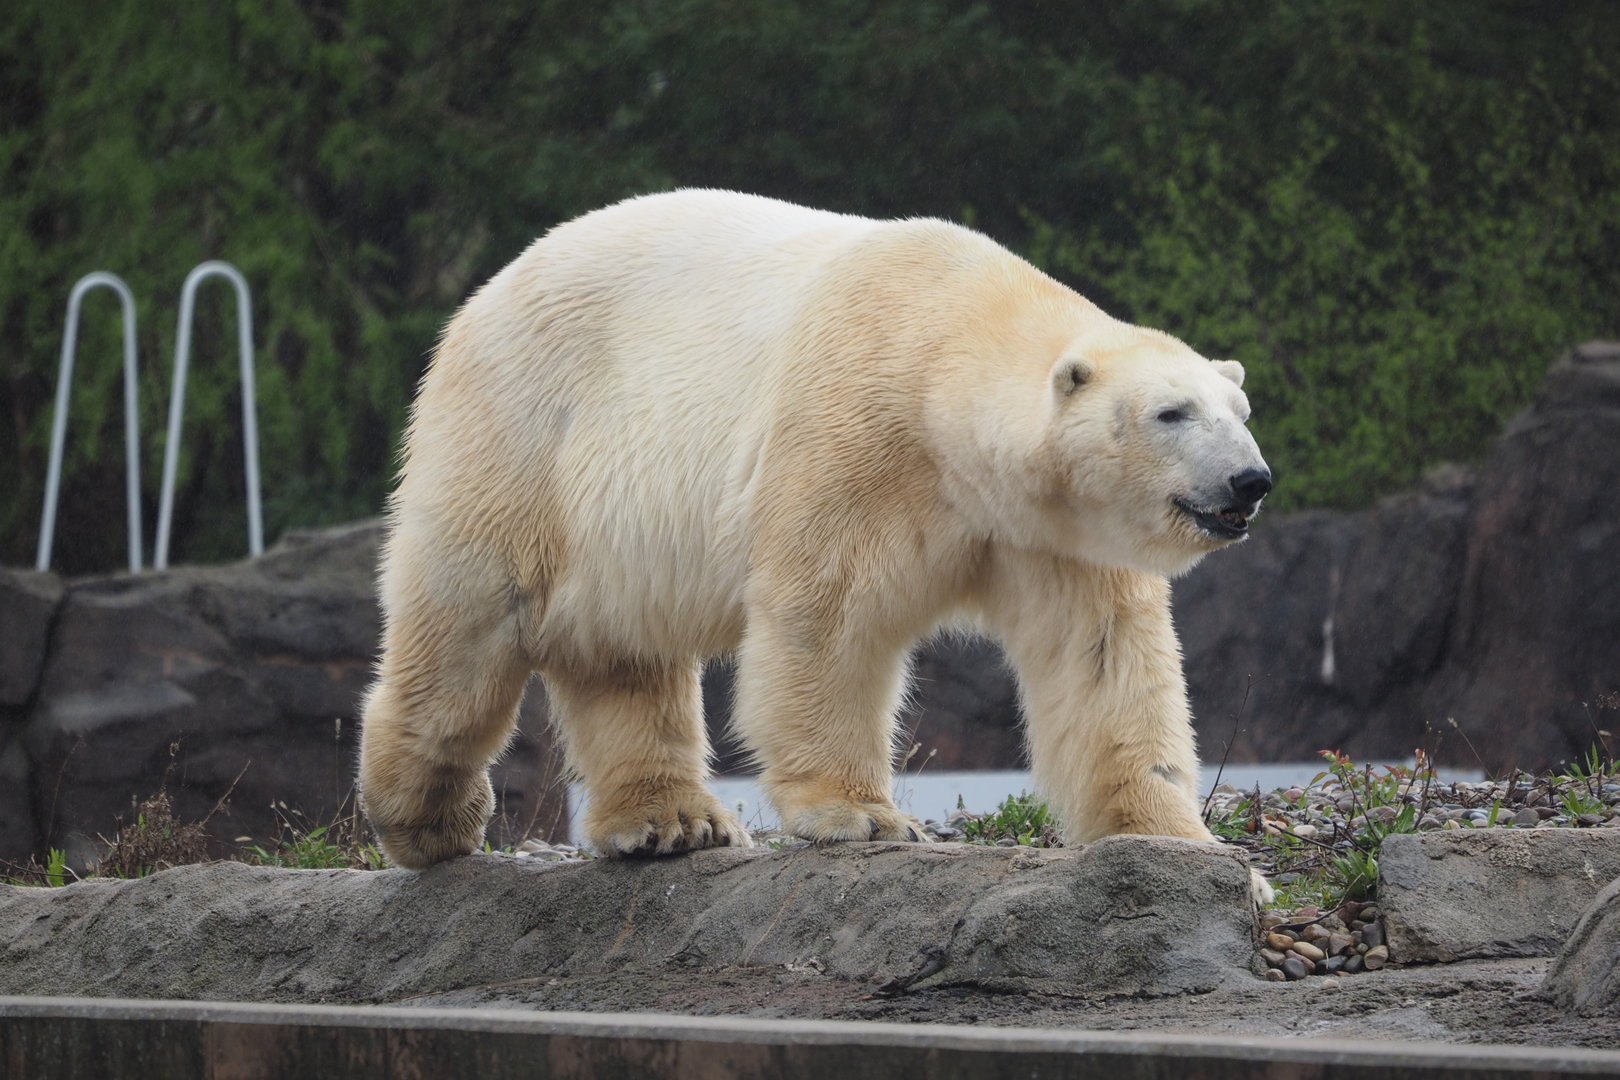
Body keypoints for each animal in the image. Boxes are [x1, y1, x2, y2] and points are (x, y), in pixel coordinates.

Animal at [358, 189, 1272, 888]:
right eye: (1171, 413)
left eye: (1240, 411)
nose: (1248, 482)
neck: (948, 340)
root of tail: (485, 294)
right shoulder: (856, 435)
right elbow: (828, 615)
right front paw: (860, 815)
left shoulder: (1050, 531)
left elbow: (1102, 659)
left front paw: (1183, 845)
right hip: (521, 436)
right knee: (468, 628)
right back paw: (429, 821)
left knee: (621, 655)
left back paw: (672, 822)